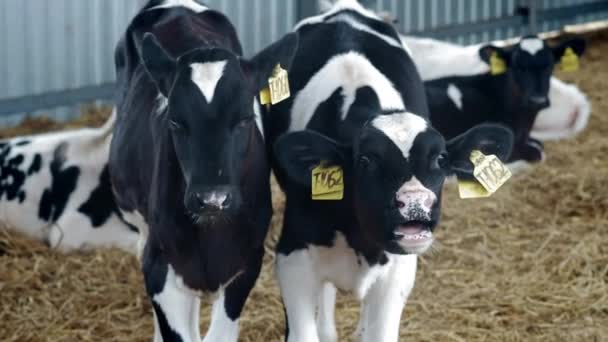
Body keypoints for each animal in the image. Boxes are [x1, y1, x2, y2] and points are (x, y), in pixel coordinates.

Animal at [264, 1, 512, 340]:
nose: (416, 204)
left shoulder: (397, 274)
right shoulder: (293, 259)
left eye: (440, 159)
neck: (360, 241)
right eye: (365, 161)